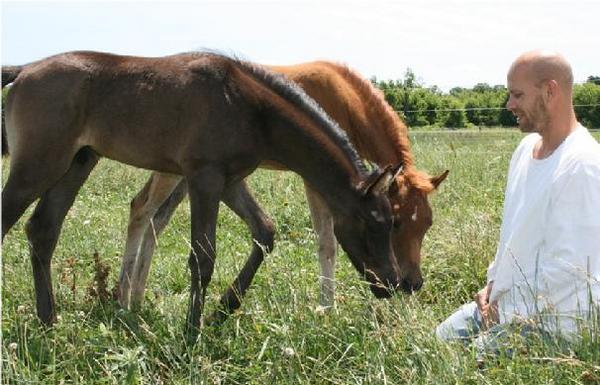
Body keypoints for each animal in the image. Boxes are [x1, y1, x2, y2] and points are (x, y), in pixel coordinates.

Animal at [1, 51, 404, 332]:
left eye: (392, 223)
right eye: (374, 223)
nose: (392, 284)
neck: (247, 106)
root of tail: (24, 70)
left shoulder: (230, 181)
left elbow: (264, 230)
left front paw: (222, 310)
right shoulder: (203, 178)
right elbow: (203, 256)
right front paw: (192, 331)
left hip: (77, 162)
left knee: (43, 230)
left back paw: (49, 321)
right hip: (38, 166)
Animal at [116, 60, 446, 312]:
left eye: (428, 223)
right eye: (397, 223)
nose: (412, 283)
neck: (345, 99)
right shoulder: (315, 181)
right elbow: (327, 244)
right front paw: (327, 309)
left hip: (185, 173)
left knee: (157, 220)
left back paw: (137, 300)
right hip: (173, 171)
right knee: (141, 209)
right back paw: (124, 301)